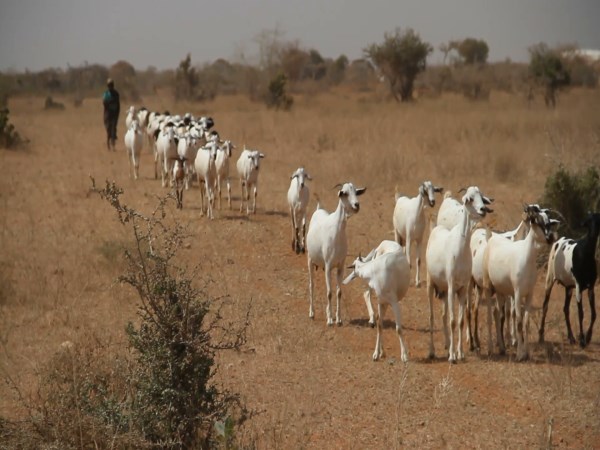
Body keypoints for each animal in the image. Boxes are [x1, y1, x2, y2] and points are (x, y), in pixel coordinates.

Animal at [304, 181, 366, 326]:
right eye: (345, 193)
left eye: (356, 191)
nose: (357, 205)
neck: (337, 231)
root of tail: (319, 209)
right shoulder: (327, 266)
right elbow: (329, 293)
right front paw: (329, 320)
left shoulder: (340, 266)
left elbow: (338, 292)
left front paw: (338, 319)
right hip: (310, 261)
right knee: (311, 285)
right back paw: (312, 313)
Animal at [424, 186, 490, 362]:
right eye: (470, 198)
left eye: (481, 197)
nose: (483, 210)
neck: (460, 247)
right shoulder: (452, 287)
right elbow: (453, 321)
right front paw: (452, 357)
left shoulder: (462, 288)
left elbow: (459, 321)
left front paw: (459, 353)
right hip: (431, 285)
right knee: (431, 317)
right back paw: (432, 351)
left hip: (445, 290)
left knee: (443, 315)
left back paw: (448, 346)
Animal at [540, 213, 600, 346]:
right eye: (589, 221)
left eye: (598, 220)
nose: (594, 233)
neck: (586, 253)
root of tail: (559, 240)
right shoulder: (578, 285)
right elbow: (581, 313)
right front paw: (582, 339)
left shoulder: (591, 286)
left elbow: (594, 313)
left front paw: (588, 337)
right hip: (549, 278)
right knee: (545, 305)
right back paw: (541, 336)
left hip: (568, 287)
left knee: (565, 308)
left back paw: (571, 337)